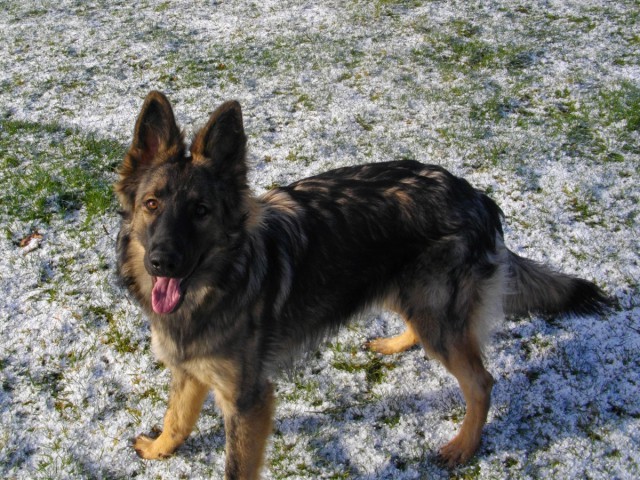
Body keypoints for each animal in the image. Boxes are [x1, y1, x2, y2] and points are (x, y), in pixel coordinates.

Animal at [115, 91, 608, 480]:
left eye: (200, 211)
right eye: (152, 204)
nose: (162, 262)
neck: (218, 284)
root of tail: (476, 196)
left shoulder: (247, 400)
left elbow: (235, 467)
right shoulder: (190, 371)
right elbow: (177, 418)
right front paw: (159, 449)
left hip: (438, 318)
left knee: (482, 382)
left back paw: (464, 445)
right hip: (411, 297)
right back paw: (395, 343)